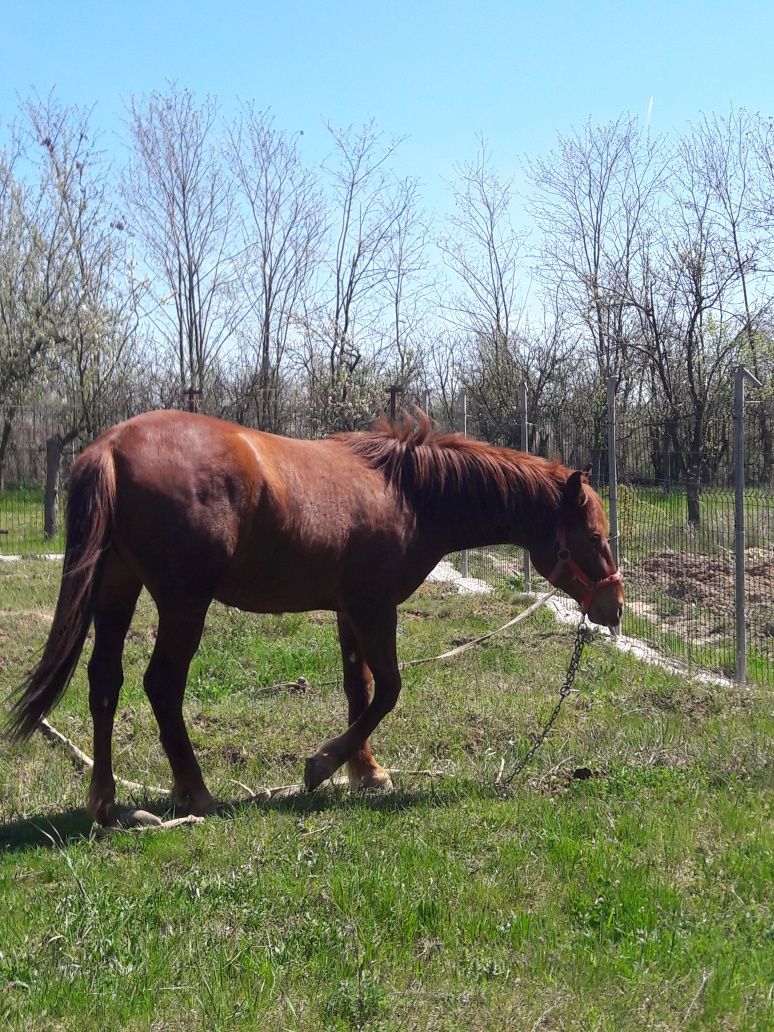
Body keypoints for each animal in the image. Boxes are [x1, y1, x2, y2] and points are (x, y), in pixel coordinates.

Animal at [6, 408, 623, 821]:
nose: (614, 608)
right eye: (594, 537)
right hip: (183, 603)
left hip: (118, 588)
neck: (407, 494)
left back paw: (105, 801)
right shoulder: (375, 609)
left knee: (104, 682)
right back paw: (195, 790)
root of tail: (111, 446)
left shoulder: (350, 612)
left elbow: (359, 688)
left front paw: (365, 771)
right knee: (161, 685)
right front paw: (323, 765)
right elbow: (389, 690)